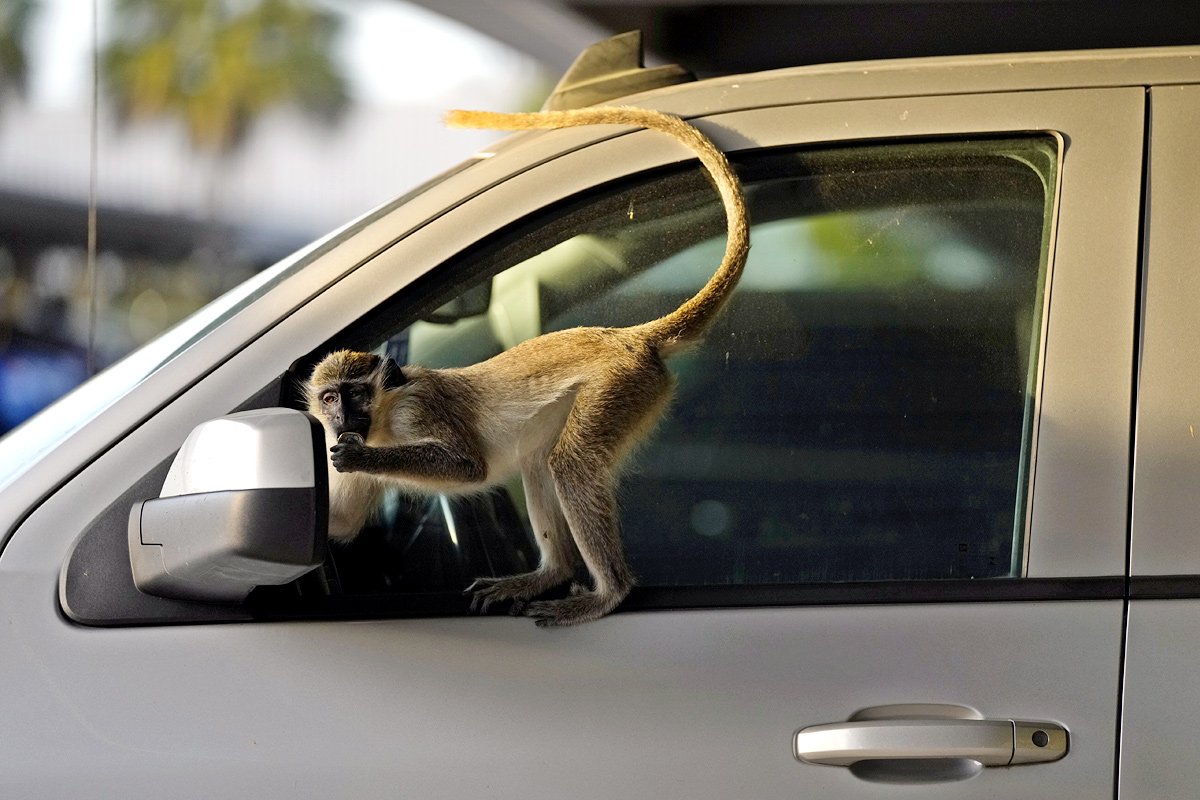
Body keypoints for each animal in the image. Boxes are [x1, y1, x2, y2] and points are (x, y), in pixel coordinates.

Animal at [304, 106, 744, 623]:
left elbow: (468, 465)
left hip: (618, 386)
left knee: (569, 464)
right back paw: (548, 575)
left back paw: (609, 592)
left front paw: (362, 457)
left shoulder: (418, 409)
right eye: (329, 398)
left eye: (354, 394)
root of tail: (627, 336)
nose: (340, 420)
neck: (387, 415)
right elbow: (342, 522)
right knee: (539, 463)